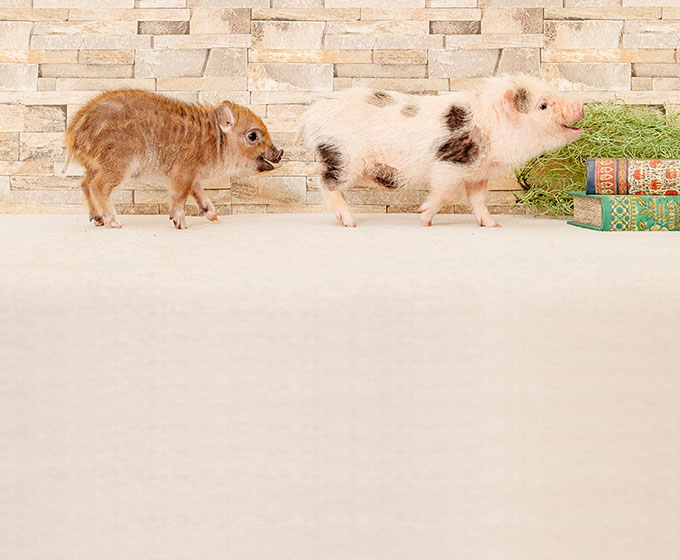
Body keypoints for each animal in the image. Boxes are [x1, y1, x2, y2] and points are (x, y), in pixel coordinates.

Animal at [65, 89, 283, 229]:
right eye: (252, 136)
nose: (280, 152)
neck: (214, 141)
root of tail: (73, 135)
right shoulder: (182, 174)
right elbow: (180, 197)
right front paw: (181, 225)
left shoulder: (192, 177)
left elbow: (198, 193)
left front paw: (213, 216)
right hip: (118, 165)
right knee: (97, 187)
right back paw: (114, 222)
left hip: (94, 166)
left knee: (84, 184)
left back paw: (98, 220)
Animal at [297, 75, 584, 227]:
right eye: (543, 106)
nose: (581, 104)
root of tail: (310, 115)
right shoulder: (450, 164)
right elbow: (444, 192)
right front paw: (423, 218)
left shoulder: (477, 171)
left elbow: (478, 199)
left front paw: (493, 225)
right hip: (344, 155)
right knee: (326, 182)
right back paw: (350, 223)